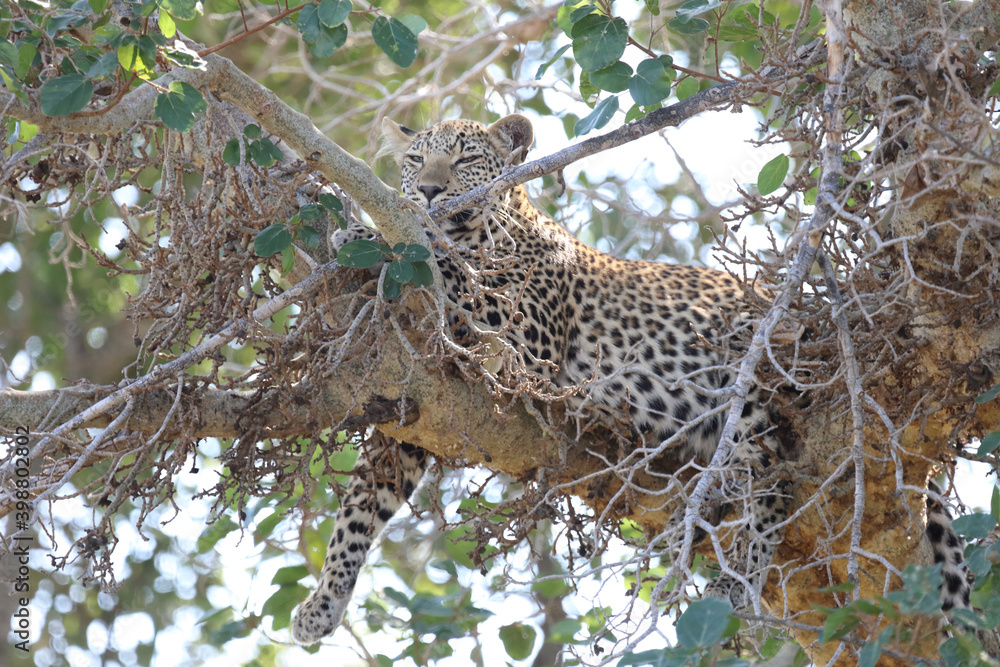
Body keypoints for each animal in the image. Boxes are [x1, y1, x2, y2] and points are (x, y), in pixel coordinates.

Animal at [290, 114, 973, 645]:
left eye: (463, 159)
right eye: (414, 159)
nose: (430, 191)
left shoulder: (525, 343)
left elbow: (445, 267)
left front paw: (368, 231)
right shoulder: (413, 411)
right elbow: (359, 508)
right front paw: (323, 603)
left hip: (747, 373)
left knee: (772, 480)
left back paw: (737, 584)